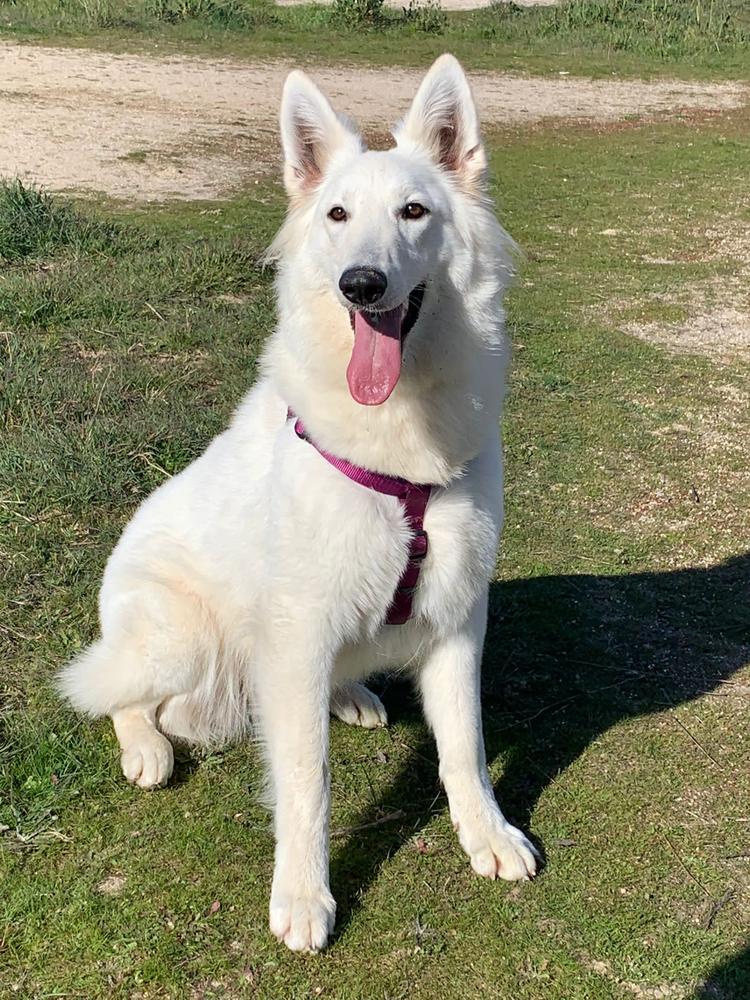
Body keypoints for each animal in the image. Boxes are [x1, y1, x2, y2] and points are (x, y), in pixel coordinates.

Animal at [60, 54, 540, 952]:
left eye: (414, 212)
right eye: (337, 216)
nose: (362, 283)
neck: (398, 451)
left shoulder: (457, 618)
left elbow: (464, 748)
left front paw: (485, 835)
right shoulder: (300, 633)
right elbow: (306, 780)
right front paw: (303, 895)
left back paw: (350, 695)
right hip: (178, 636)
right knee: (121, 695)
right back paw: (148, 744)